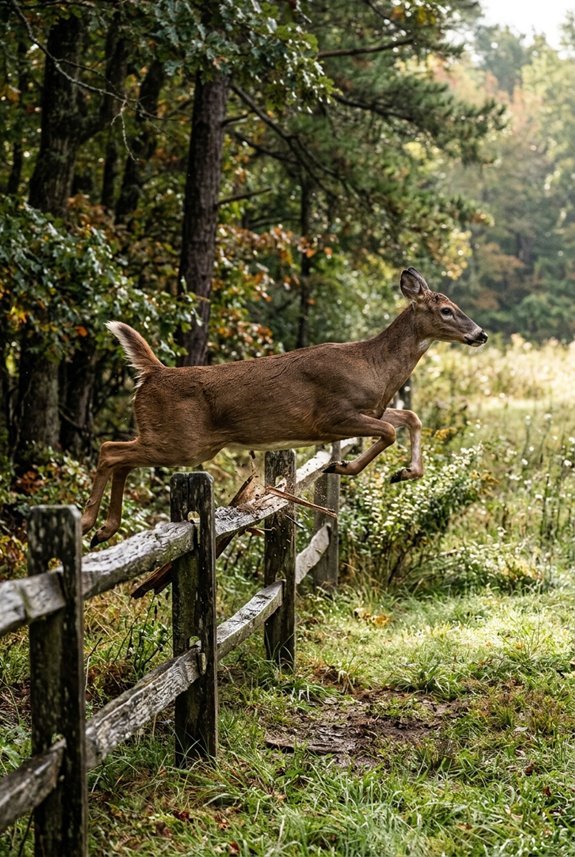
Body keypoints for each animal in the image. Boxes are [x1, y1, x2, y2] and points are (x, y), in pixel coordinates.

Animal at [81, 267, 487, 547]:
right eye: (446, 310)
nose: (480, 334)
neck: (375, 366)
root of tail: (153, 373)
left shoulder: (370, 409)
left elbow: (410, 418)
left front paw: (406, 472)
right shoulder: (331, 415)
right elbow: (389, 431)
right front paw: (343, 467)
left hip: (177, 440)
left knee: (121, 457)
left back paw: (104, 529)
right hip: (182, 441)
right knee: (110, 449)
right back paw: (88, 522)